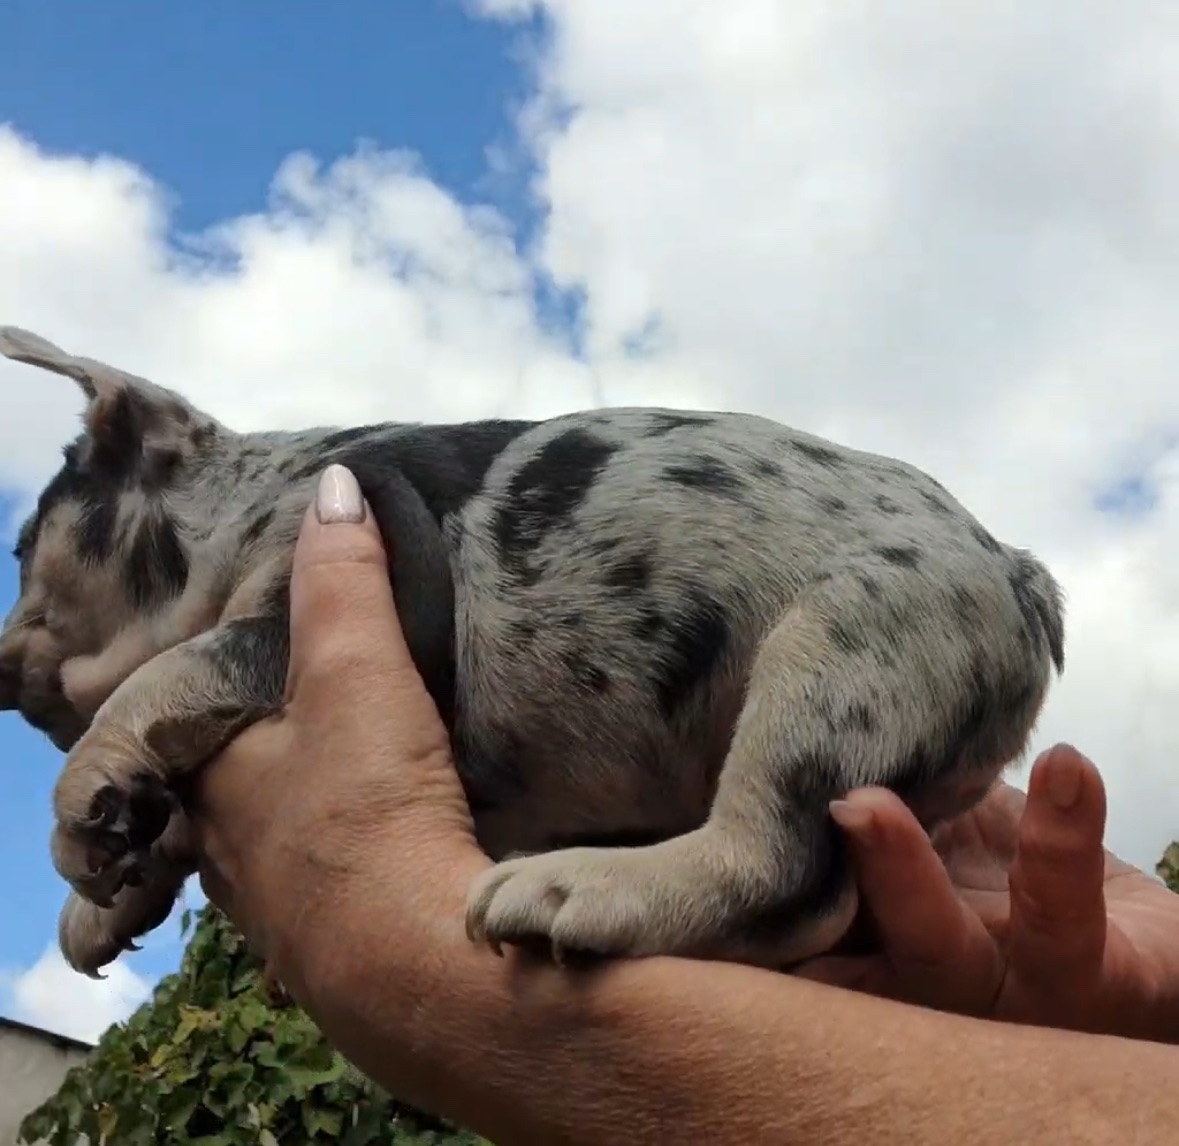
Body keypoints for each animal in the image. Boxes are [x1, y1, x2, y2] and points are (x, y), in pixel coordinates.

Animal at [0, 323, 1070, 976]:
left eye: (18, 549)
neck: (242, 508)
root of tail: (1018, 580)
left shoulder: (302, 611)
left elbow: (163, 677)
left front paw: (81, 810)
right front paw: (100, 906)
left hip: (840, 654)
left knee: (775, 861)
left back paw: (568, 894)